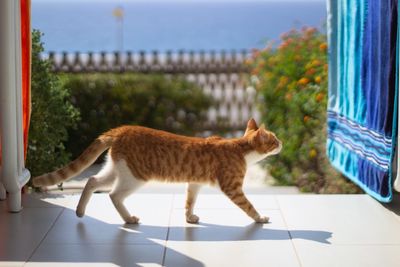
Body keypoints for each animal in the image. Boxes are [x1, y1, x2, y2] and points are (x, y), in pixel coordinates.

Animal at [33, 119, 282, 224]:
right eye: (274, 139)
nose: (282, 143)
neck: (240, 149)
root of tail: (122, 129)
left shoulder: (194, 183)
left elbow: (189, 201)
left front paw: (189, 217)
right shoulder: (232, 187)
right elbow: (248, 206)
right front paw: (260, 218)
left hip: (116, 169)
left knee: (92, 180)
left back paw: (80, 211)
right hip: (134, 177)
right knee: (114, 195)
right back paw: (128, 219)